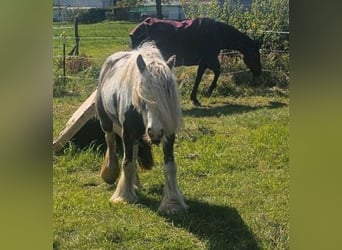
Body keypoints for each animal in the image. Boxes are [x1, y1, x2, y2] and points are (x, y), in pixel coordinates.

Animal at [131, 17, 262, 106]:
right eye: (255, 55)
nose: (259, 72)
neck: (218, 33)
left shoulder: (204, 62)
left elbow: (199, 78)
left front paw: (194, 98)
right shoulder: (210, 59)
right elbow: (217, 72)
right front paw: (208, 92)